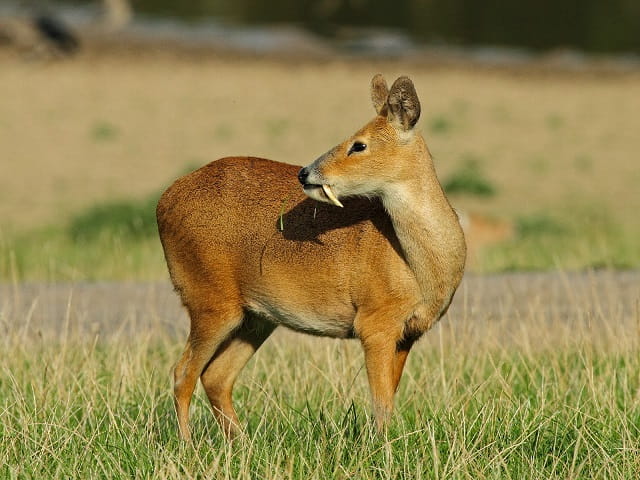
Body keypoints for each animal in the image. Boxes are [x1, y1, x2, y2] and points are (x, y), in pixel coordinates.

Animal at [156, 74, 467, 441]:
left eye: (358, 145)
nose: (305, 173)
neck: (420, 268)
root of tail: (163, 202)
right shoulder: (374, 322)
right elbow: (381, 404)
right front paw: (382, 448)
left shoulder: (409, 333)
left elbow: (388, 397)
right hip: (209, 299)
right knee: (182, 373)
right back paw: (188, 446)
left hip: (255, 317)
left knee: (215, 376)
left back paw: (242, 444)